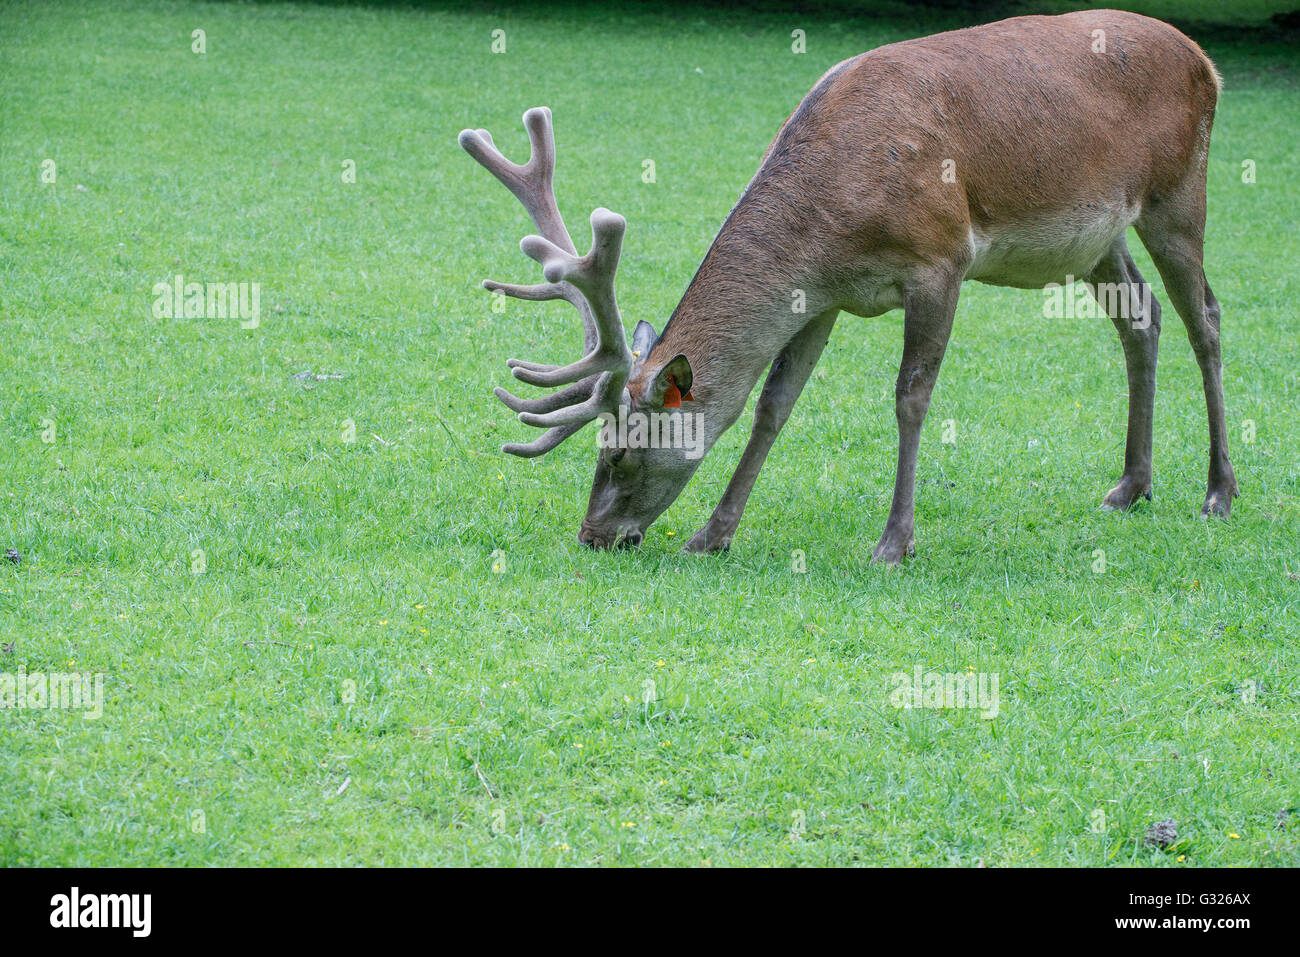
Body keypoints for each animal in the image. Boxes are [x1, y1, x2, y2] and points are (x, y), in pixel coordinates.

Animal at [460, 9, 1237, 561]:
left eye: (619, 452)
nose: (592, 536)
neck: (833, 222)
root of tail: (1206, 59)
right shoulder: (823, 297)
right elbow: (774, 404)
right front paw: (713, 534)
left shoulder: (941, 259)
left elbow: (910, 398)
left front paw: (895, 542)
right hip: (1096, 236)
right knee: (1141, 317)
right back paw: (1130, 485)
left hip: (1177, 193)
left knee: (1205, 315)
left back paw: (1218, 493)